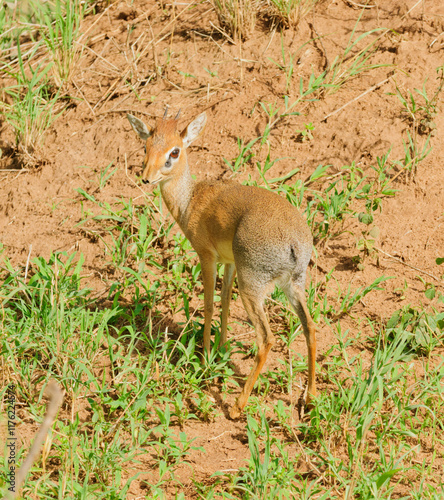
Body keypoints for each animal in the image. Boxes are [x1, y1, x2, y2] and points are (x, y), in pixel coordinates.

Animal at [126, 110, 318, 418]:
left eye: (174, 151)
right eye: (147, 146)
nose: (147, 178)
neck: (192, 200)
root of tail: (295, 243)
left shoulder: (207, 257)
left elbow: (208, 303)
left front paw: (205, 358)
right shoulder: (229, 263)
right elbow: (225, 300)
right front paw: (221, 349)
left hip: (252, 286)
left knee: (266, 338)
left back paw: (238, 406)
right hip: (293, 285)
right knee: (310, 326)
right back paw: (310, 398)